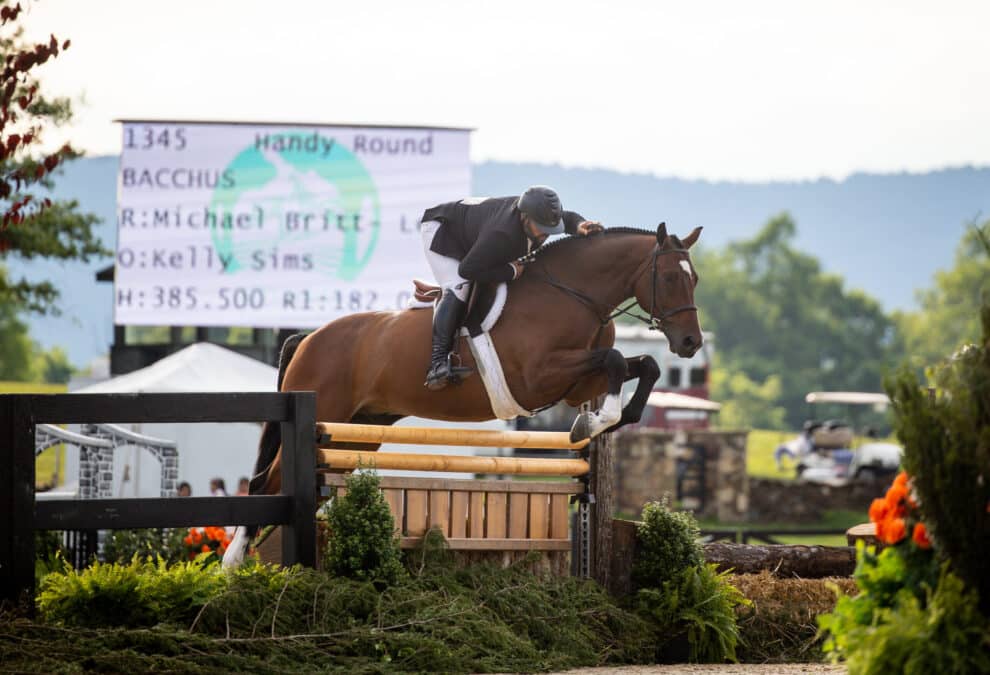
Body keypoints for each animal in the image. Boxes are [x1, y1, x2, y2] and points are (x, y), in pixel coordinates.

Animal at [225, 224, 704, 568]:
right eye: (667, 278)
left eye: (695, 278)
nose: (690, 343)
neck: (572, 296)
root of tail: (308, 337)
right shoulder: (539, 377)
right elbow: (617, 359)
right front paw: (594, 421)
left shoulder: (578, 384)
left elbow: (642, 365)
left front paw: (612, 418)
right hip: (326, 413)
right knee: (265, 482)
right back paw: (234, 563)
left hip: (356, 430)